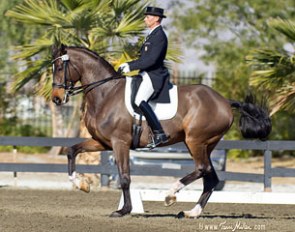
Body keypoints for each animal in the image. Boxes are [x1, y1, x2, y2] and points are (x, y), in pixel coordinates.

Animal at [51, 44, 272, 218]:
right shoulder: (103, 142)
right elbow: (71, 151)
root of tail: (224, 101)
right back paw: (191, 212)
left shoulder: (120, 142)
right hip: (203, 145)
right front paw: (82, 185)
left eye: (60, 67)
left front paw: (124, 210)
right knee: (211, 178)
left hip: (195, 141)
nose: (56, 98)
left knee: (202, 169)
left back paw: (170, 194)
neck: (106, 93)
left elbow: (124, 177)